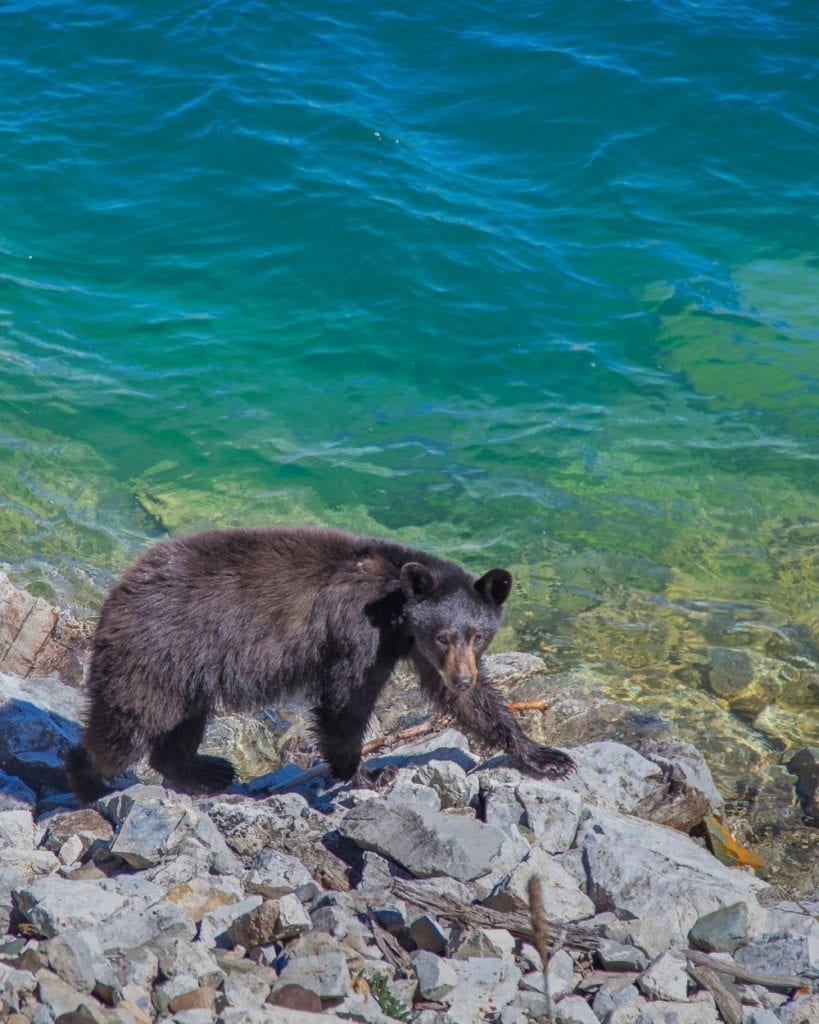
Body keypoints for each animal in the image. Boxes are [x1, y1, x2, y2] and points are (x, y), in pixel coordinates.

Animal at [65, 524, 577, 802]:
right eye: (444, 634)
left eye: (478, 635)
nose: (463, 676)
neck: (395, 608)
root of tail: (117, 591)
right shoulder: (358, 633)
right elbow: (345, 702)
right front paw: (368, 772)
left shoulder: (417, 648)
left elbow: (473, 705)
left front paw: (545, 756)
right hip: (154, 655)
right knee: (126, 728)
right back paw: (88, 780)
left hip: (185, 670)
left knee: (178, 727)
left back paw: (206, 772)